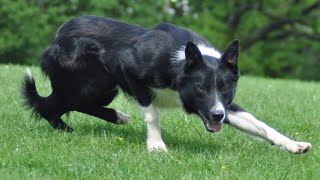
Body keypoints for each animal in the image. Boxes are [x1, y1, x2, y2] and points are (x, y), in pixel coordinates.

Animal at [21, 16, 310, 153]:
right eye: (200, 87)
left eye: (226, 88)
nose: (218, 116)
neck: (182, 64)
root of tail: (57, 38)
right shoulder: (130, 70)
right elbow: (152, 115)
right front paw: (156, 146)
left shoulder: (220, 106)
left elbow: (260, 125)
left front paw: (294, 145)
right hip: (98, 83)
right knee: (54, 105)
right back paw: (77, 126)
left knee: (69, 104)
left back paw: (112, 117)